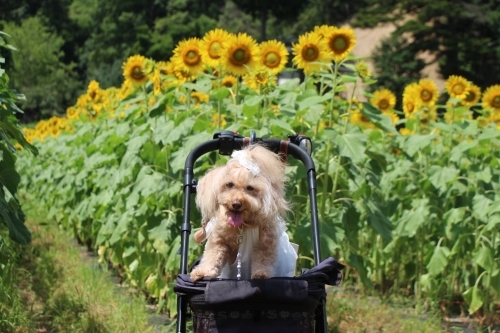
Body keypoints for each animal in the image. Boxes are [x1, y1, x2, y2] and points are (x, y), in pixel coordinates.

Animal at [189, 144, 294, 282]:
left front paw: (261, 274)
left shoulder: (265, 243)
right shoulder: (218, 240)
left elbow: (263, 260)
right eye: (229, 184)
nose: (236, 203)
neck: (242, 226)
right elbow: (212, 256)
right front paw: (202, 272)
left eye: (250, 188)